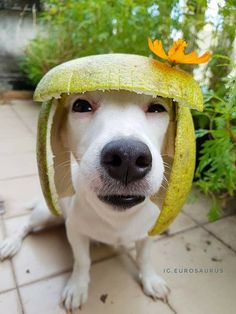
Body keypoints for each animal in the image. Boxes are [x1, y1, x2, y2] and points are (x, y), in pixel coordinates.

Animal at [0, 89, 171, 310]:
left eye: (157, 108)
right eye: (81, 106)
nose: (127, 157)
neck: (117, 218)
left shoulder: (148, 233)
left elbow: (144, 257)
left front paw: (151, 280)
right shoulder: (75, 231)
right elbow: (82, 261)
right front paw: (77, 287)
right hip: (46, 214)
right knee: (26, 224)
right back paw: (11, 242)